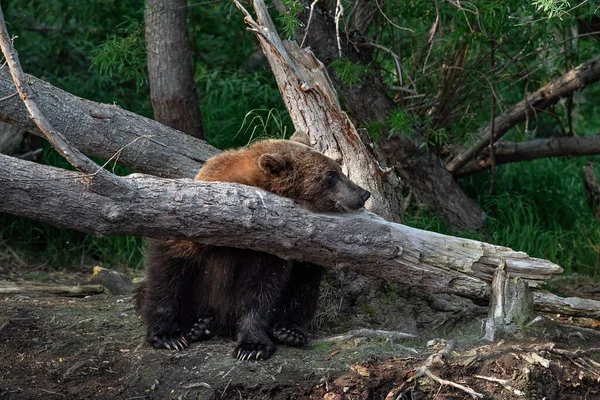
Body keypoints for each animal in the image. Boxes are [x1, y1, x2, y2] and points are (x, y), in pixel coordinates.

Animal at [135, 131, 370, 360]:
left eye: (338, 169)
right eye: (331, 176)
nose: (363, 193)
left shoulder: (270, 247)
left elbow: (263, 288)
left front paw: (252, 346)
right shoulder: (194, 226)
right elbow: (167, 269)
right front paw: (168, 336)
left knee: (305, 281)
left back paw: (288, 330)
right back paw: (199, 326)